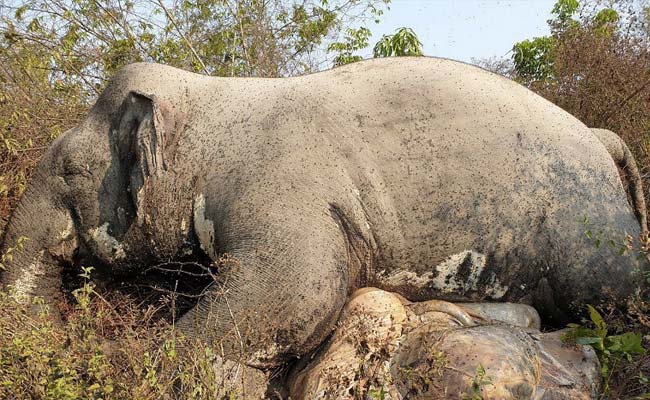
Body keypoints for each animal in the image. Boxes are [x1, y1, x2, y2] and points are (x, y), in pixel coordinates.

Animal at [0, 56, 646, 369]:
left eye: (68, 171)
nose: (69, 341)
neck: (211, 103)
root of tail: (601, 135)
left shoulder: (284, 188)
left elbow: (297, 290)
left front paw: (123, 358)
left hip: (590, 233)